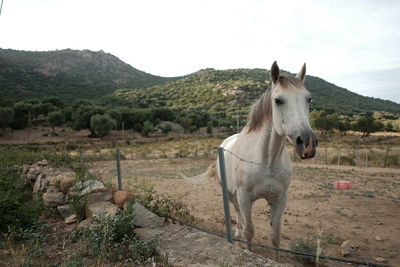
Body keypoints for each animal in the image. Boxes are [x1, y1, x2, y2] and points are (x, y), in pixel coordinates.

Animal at [214, 61, 318, 250]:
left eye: (308, 98)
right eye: (278, 100)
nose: (308, 143)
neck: (266, 161)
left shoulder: (279, 199)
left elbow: (275, 236)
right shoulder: (245, 198)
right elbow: (249, 232)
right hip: (230, 192)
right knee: (237, 212)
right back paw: (237, 233)